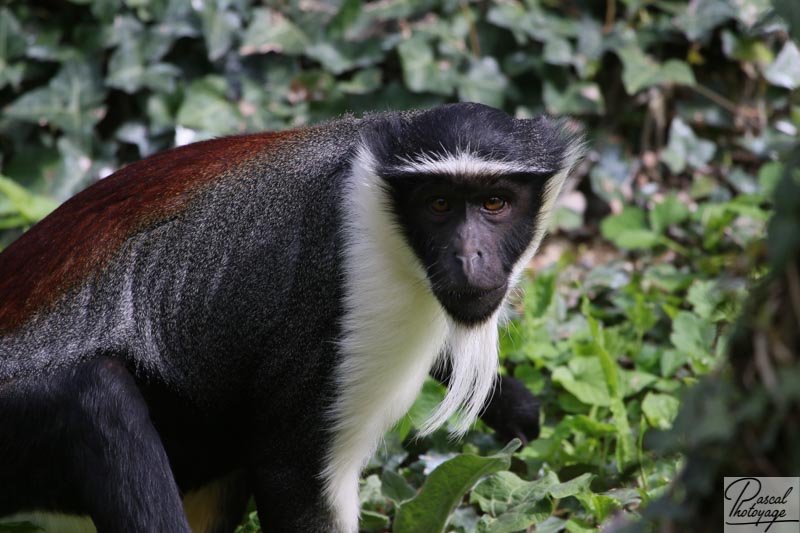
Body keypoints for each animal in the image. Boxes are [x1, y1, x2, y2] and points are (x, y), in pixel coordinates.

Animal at [0, 102, 580, 528]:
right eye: (438, 205)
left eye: (494, 203)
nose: (470, 257)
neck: (371, 196)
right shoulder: (334, 292)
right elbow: (292, 475)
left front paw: (515, 406)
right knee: (96, 397)